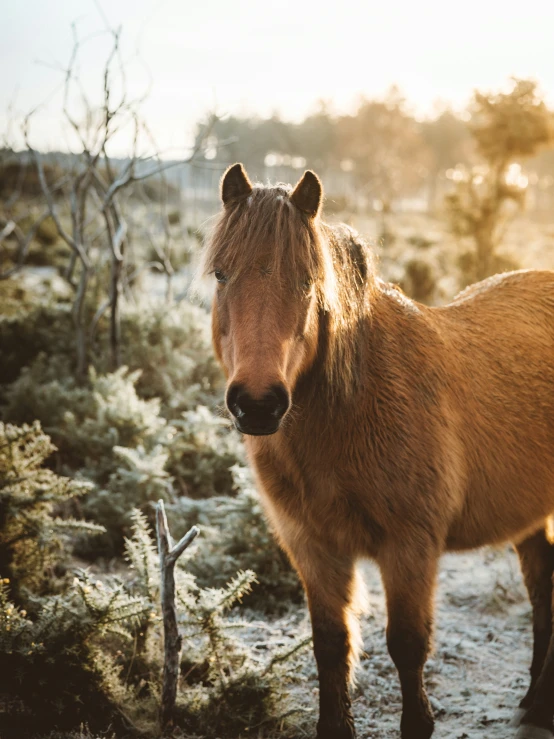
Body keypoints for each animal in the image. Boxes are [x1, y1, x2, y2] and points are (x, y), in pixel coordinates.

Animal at [204, 163, 554, 739]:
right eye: (220, 275)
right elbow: (331, 645)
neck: (351, 410)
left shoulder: (410, 547)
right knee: (541, 582)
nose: (257, 404)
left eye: (307, 280)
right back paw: (533, 701)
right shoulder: (313, 547)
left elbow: (407, 646)